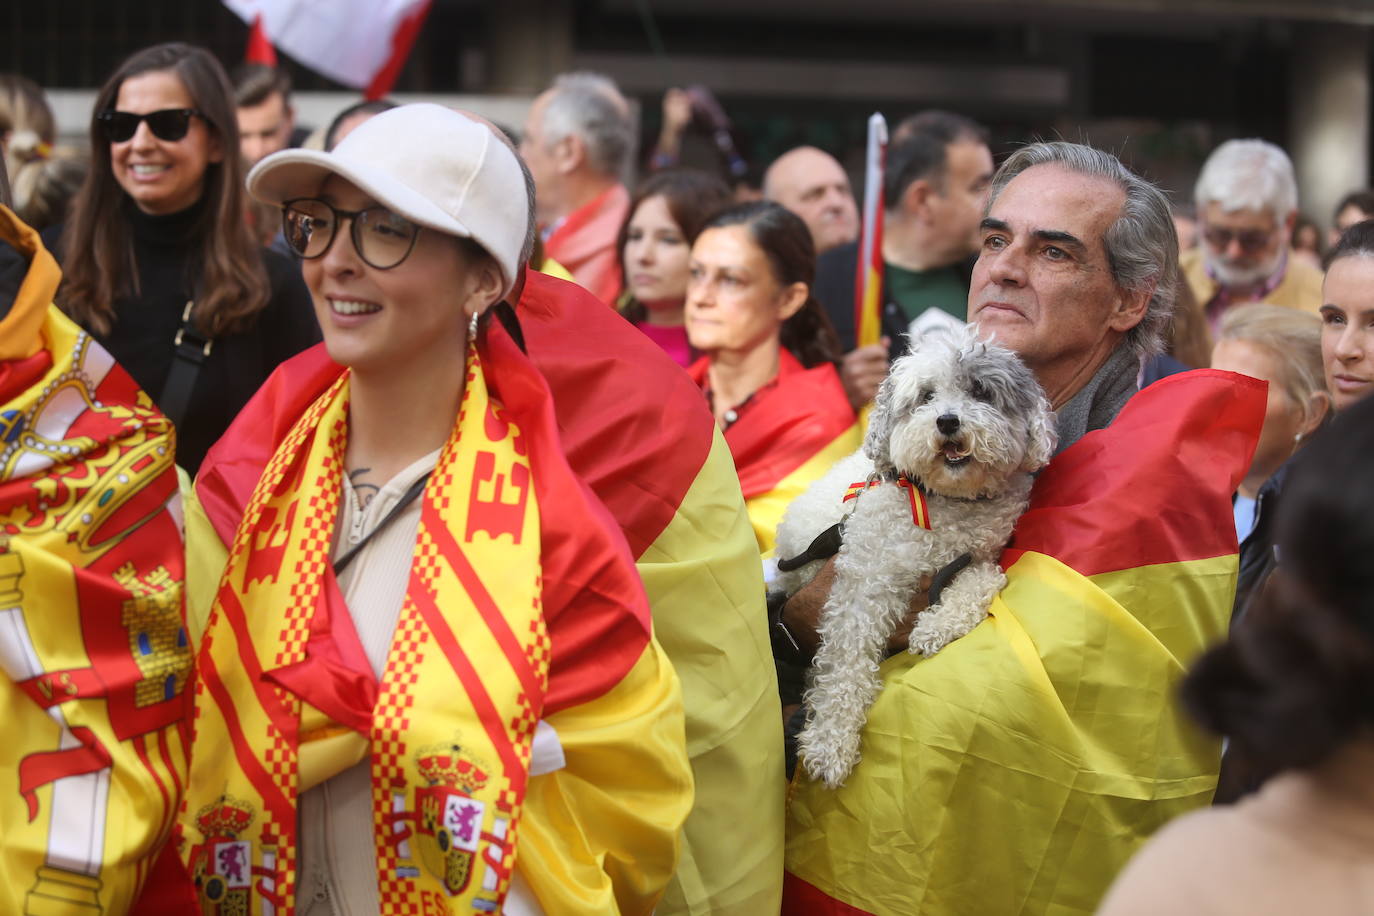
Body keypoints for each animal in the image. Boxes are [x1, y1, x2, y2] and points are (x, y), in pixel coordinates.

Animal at [780, 324, 1055, 791]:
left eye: (979, 391)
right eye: (926, 396)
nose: (947, 420)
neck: (947, 503)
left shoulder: (978, 556)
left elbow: (983, 582)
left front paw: (935, 627)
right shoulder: (865, 582)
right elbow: (846, 664)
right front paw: (831, 743)